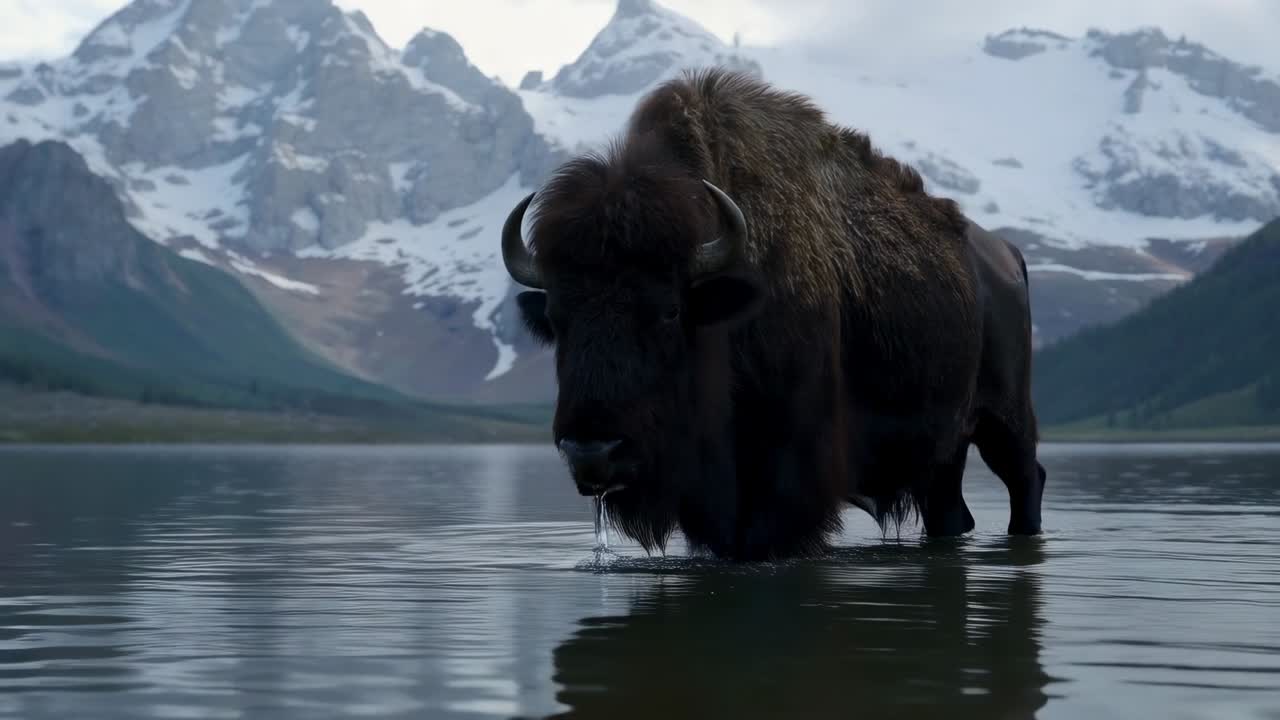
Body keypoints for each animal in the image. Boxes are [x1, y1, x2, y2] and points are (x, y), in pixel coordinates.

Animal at [500, 68, 1046, 561]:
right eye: (557, 317)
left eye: (670, 310)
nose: (591, 452)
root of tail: (1003, 254)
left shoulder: (786, 482)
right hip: (943, 453)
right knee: (950, 510)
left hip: (1004, 420)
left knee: (1026, 478)